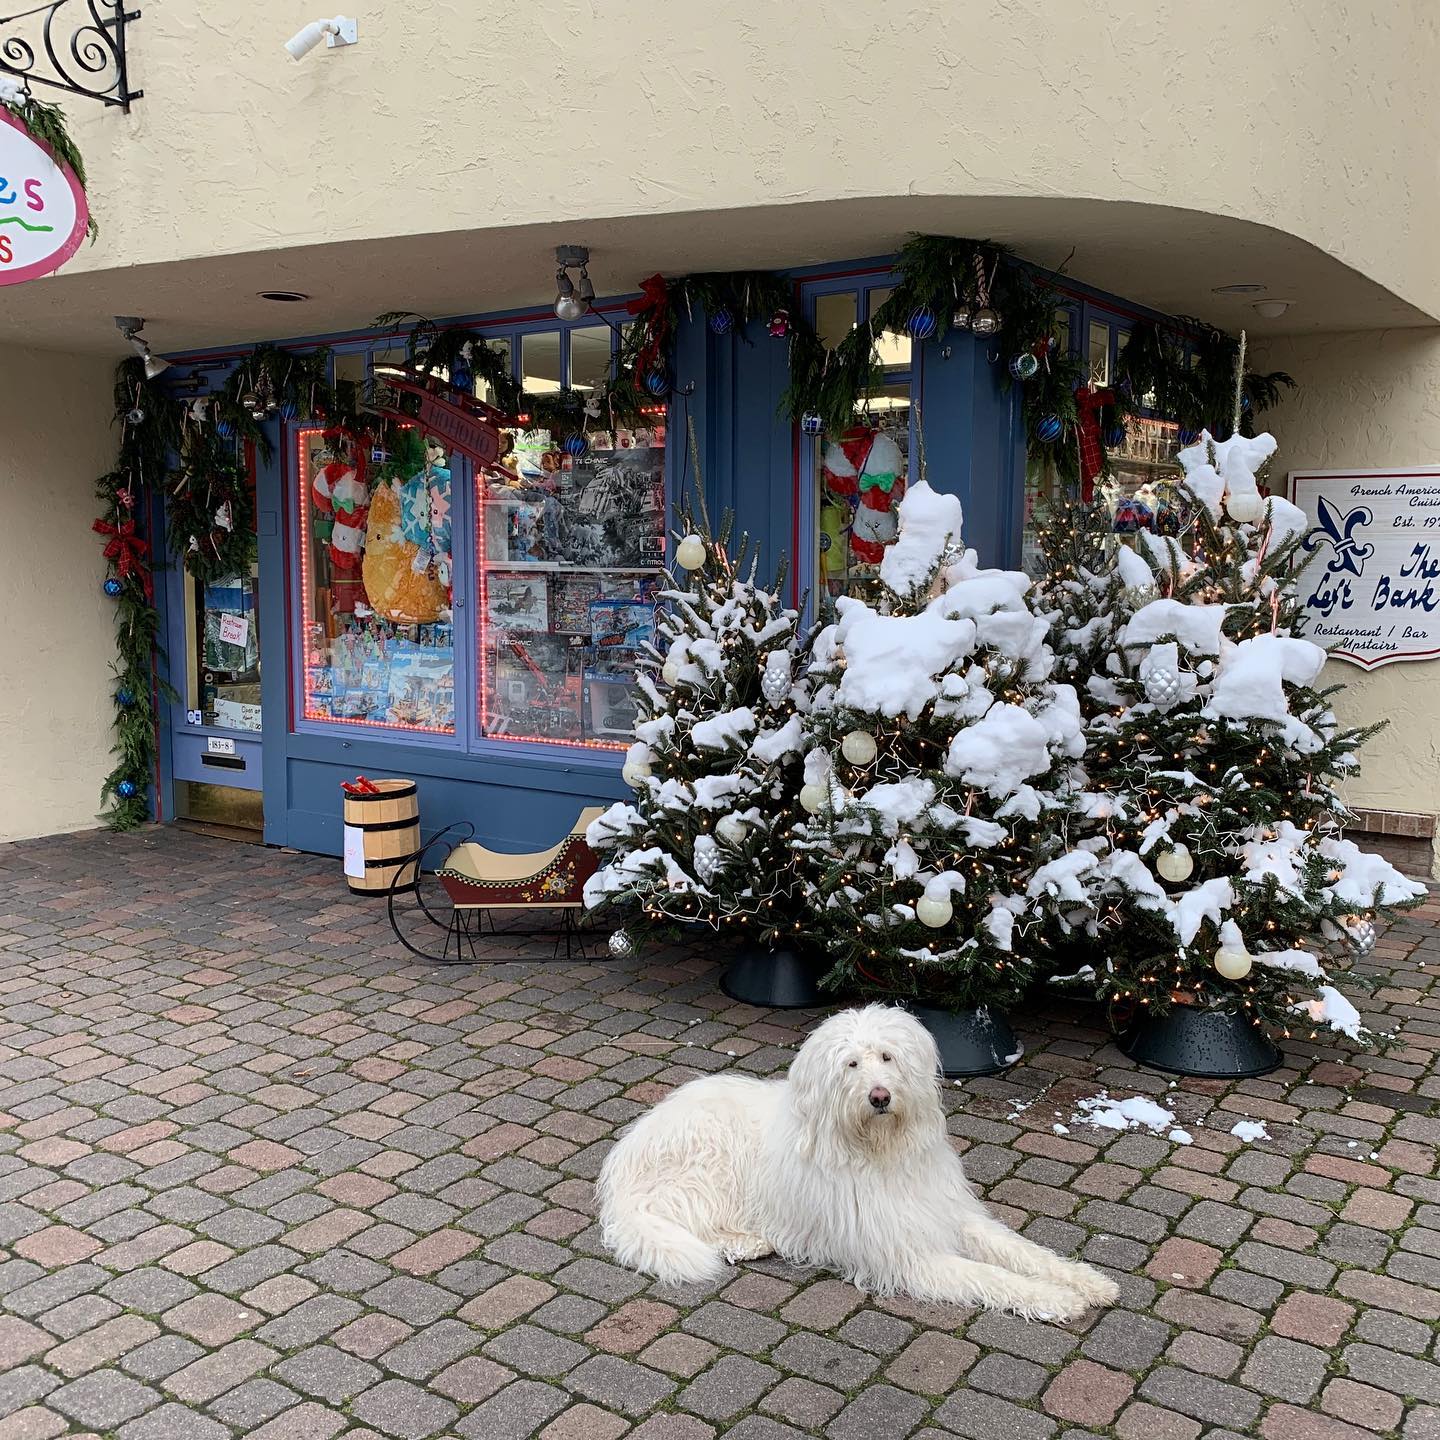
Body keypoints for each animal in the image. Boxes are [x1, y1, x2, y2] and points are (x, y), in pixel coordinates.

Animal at [597, 1004, 1119, 1321]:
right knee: (687, 1222)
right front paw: (1056, 1298)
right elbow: (990, 1276)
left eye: (887, 1057)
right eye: (850, 1064)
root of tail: (624, 1159)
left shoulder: (948, 1213)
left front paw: (1087, 1282)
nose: (880, 1096)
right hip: (707, 1168)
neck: (879, 1151)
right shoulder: (908, 1255)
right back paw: (746, 1241)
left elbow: (1020, 1251)